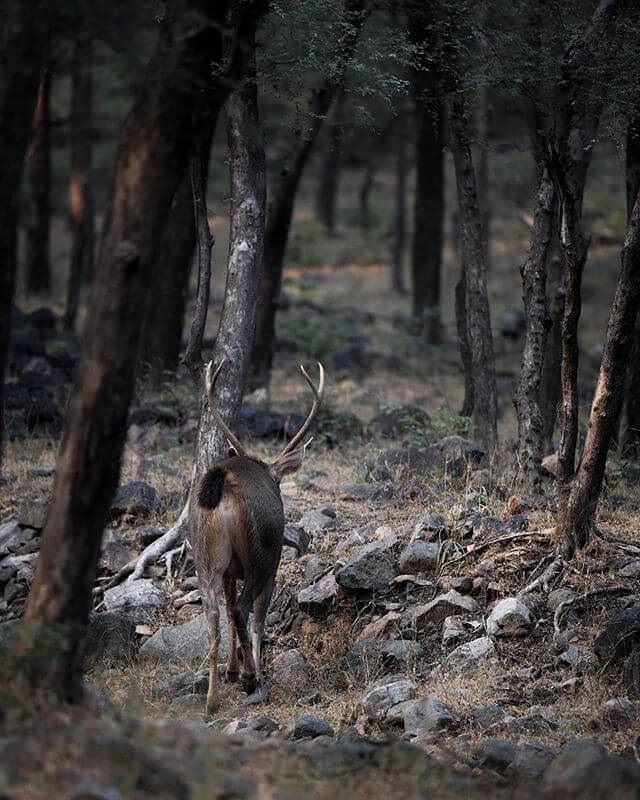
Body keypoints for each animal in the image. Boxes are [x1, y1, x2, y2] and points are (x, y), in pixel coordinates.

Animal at [188, 356, 322, 712]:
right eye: (278, 482)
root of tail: (221, 482)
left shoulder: (229, 571)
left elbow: (228, 609)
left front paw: (232, 671)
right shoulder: (271, 562)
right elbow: (259, 615)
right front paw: (252, 671)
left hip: (205, 555)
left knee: (214, 612)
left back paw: (212, 698)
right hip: (259, 553)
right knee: (243, 608)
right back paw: (252, 679)